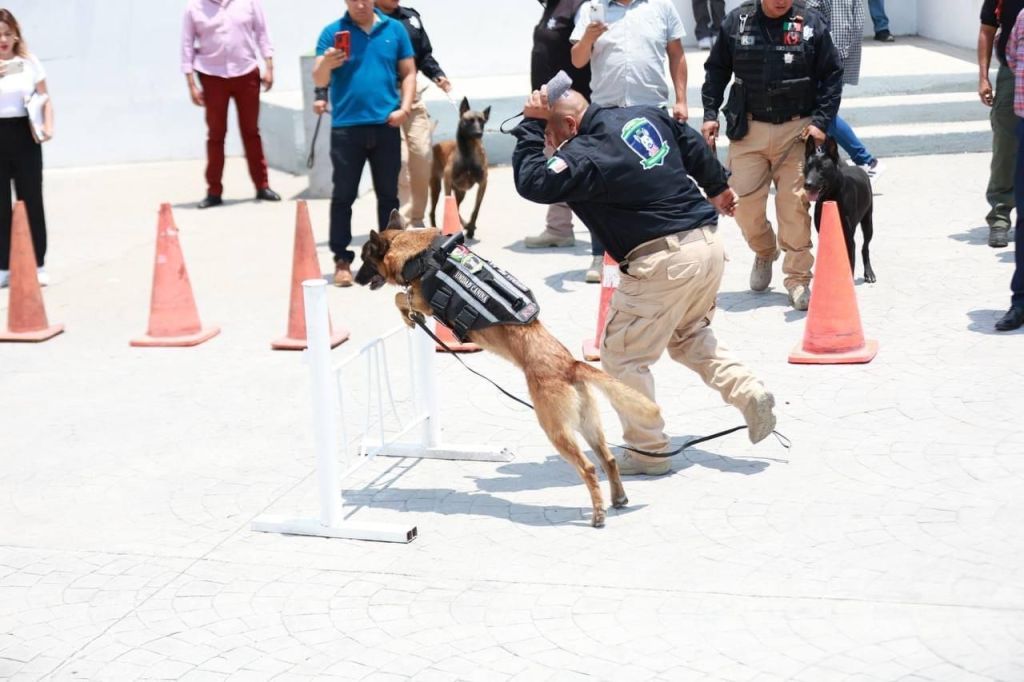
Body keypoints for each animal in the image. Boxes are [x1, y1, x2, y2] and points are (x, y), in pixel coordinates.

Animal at [355, 211, 665, 528]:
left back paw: (599, 513)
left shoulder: (422, 300)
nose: (355, 279)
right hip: (587, 424)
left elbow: (400, 298)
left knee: (589, 468)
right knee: (608, 459)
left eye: (364, 259)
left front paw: (407, 316)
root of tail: (569, 364)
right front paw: (408, 317)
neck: (417, 251)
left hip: (555, 429)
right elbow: (401, 298)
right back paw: (618, 498)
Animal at [429, 98, 489, 239]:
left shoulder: (483, 184)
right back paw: (435, 228)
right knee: (432, 211)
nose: (479, 133)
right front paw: (468, 226)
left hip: (460, 192)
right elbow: (454, 210)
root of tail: (435, 145)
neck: (468, 152)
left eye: (482, 121)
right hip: (436, 186)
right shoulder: (447, 182)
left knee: (457, 205)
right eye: (469, 120)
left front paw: (471, 228)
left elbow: (476, 209)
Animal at [802, 136, 877, 283]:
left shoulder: (848, 238)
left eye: (822, 168)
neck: (831, 196)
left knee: (865, 247)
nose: (807, 184)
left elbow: (850, 264)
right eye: (808, 166)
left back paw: (869, 273)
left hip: (868, 222)